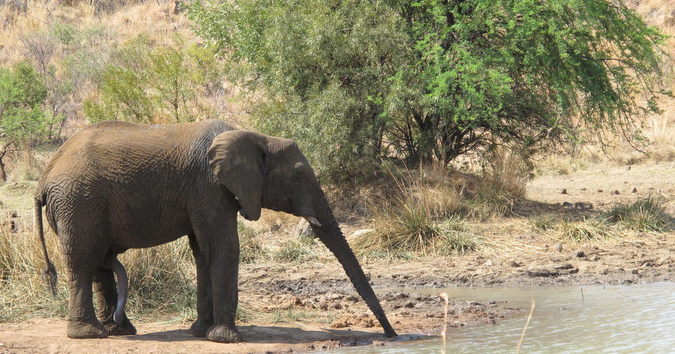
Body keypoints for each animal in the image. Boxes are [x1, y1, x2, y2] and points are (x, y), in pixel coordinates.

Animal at [35, 120, 396, 342]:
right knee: (83, 260)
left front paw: (201, 332)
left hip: (83, 204)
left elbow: (204, 253)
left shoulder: (206, 193)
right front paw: (228, 339)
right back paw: (89, 334)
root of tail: (46, 175)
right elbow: (224, 247)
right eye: (297, 176)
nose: (392, 335)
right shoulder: (209, 186)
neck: (256, 136)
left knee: (100, 262)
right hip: (79, 201)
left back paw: (119, 330)